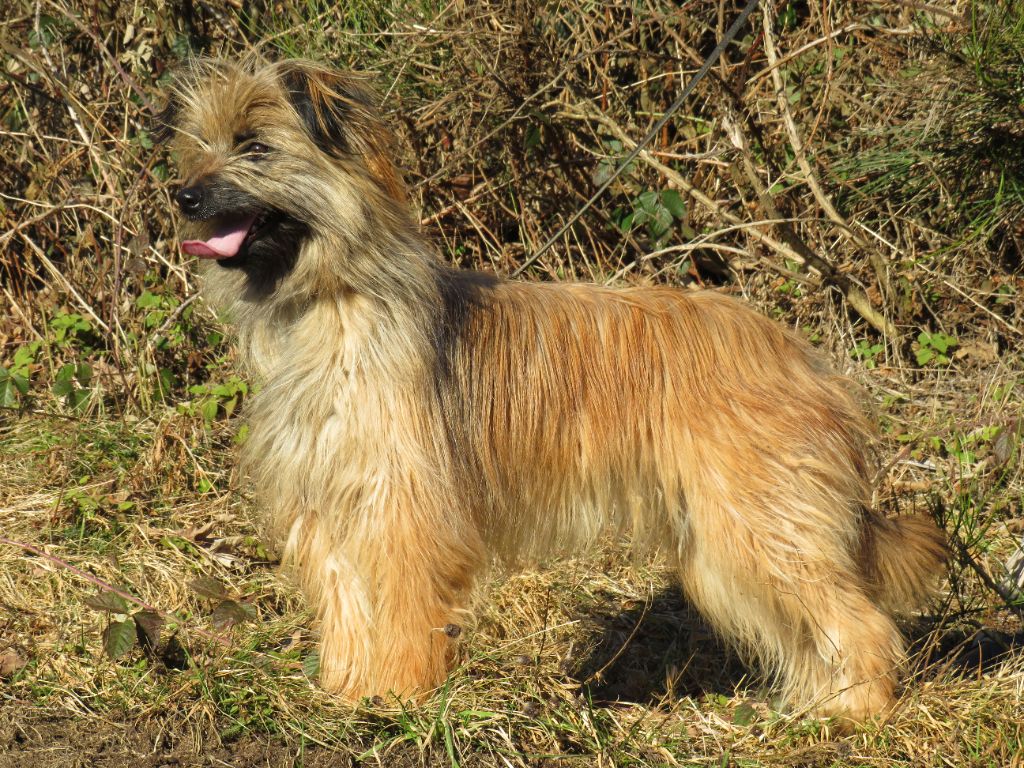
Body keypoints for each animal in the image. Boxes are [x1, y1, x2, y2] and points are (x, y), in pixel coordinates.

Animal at [155, 57, 946, 724]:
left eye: (256, 146)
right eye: (199, 144)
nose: (182, 196)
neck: (332, 303)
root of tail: (797, 355)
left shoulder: (406, 505)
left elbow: (406, 605)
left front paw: (400, 697)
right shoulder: (328, 506)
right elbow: (346, 603)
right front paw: (347, 693)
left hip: (759, 520)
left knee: (861, 620)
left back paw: (858, 712)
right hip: (725, 544)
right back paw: (815, 706)